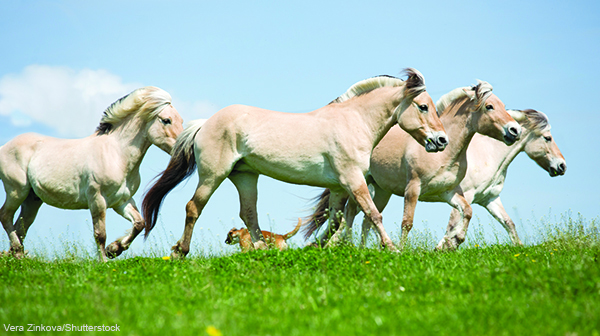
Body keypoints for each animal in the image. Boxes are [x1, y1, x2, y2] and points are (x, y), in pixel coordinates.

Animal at [0, 86, 183, 260]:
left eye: (181, 120)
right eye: (166, 120)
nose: (182, 147)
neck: (116, 154)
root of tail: (4, 147)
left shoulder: (122, 201)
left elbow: (139, 223)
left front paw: (114, 249)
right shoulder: (97, 199)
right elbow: (100, 234)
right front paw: (104, 260)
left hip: (32, 199)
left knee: (21, 226)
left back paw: (16, 255)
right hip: (17, 191)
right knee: (5, 216)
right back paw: (17, 252)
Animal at [143, 68, 448, 258]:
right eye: (423, 106)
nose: (442, 140)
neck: (353, 121)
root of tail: (205, 123)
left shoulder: (338, 187)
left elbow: (335, 221)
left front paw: (320, 248)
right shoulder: (353, 179)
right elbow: (373, 214)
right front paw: (392, 248)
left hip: (245, 176)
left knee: (249, 214)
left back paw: (262, 250)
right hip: (213, 175)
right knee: (193, 207)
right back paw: (180, 252)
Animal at [304, 81, 520, 249]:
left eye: (502, 105)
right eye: (489, 106)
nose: (515, 130)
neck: (445, 154)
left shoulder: (448, 192)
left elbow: (467, 211)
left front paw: (454, 241)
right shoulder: (413, 188)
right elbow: (407, 223)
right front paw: (403, 250)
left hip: (381, 191)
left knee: (364, 217)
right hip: (359, 183)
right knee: (351, 213)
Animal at [434, 108, 564, 249]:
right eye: (548, 138)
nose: (562, 166)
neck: (487, 154)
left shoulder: (490, 198)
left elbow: (508, 222)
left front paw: (519, 246)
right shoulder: (465, 195)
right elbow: (453, 224)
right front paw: (444, 247)